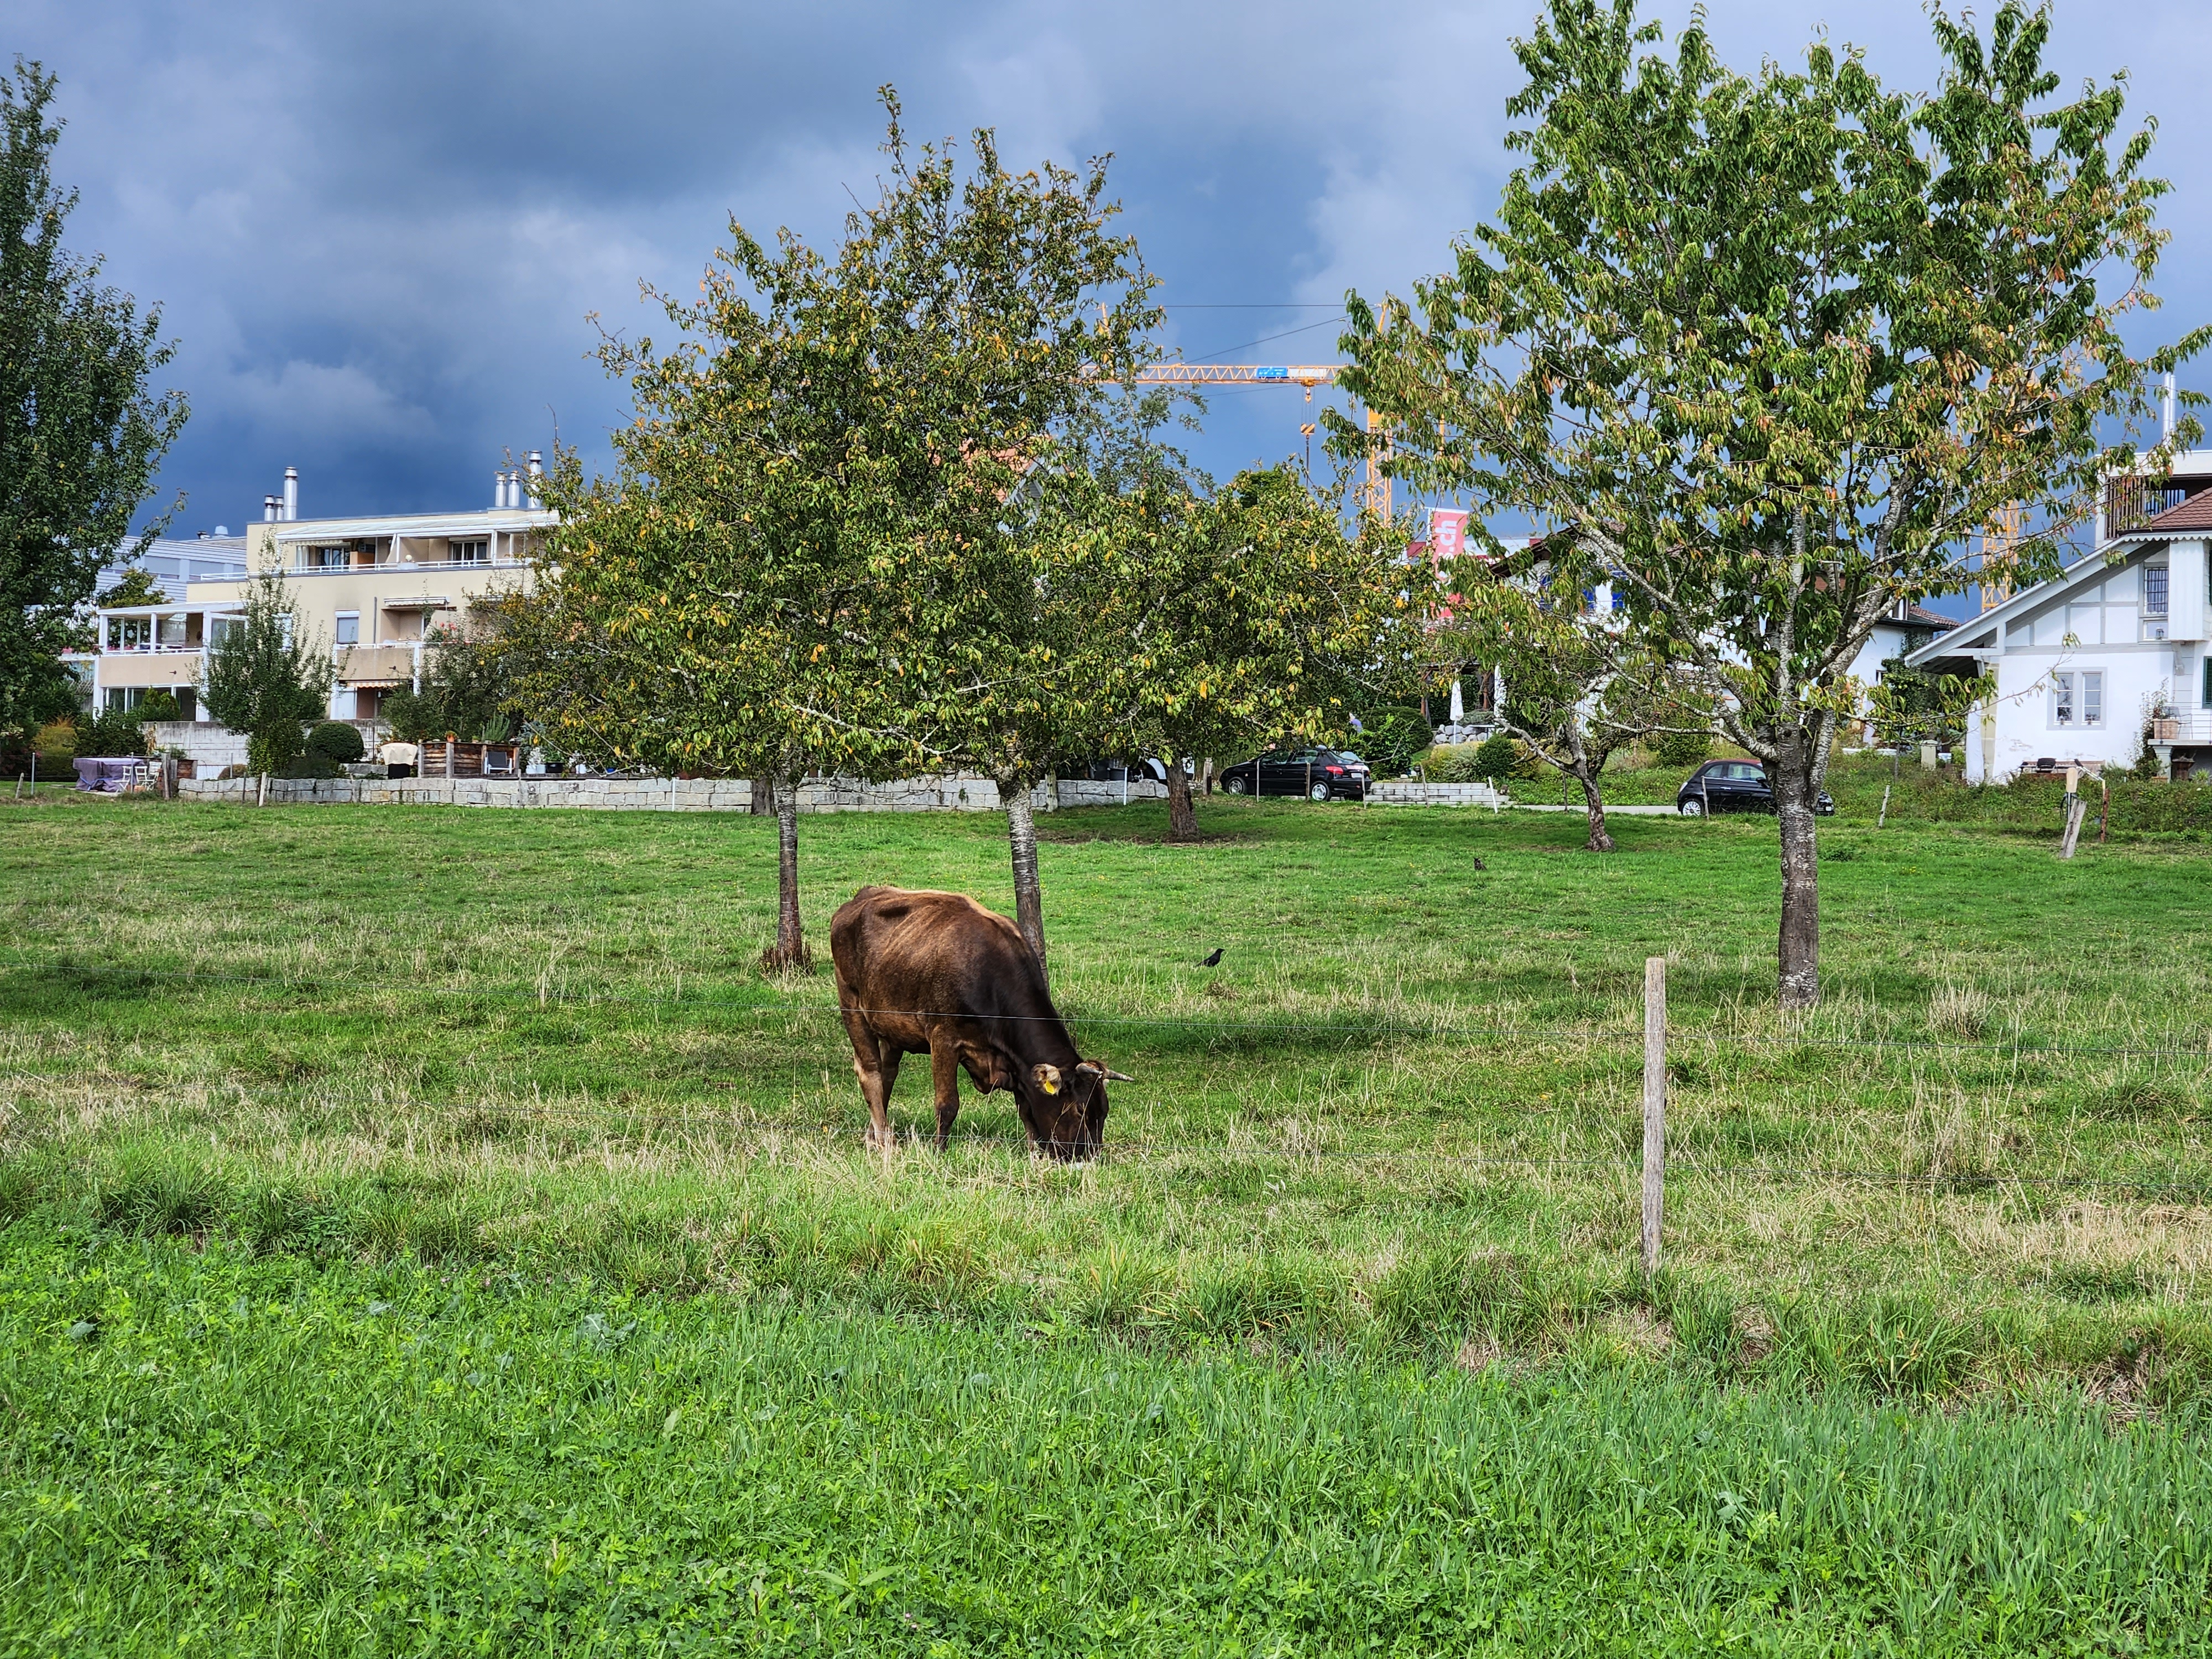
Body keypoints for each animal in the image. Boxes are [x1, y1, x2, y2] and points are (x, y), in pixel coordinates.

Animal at [832, 889, 1141, 1159]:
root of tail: (861, 897)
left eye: (1104, 1111)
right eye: (1079, 1110)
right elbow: (948, 1104)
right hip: (851, 1004)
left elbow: (1027, 1109)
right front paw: (939, 1152)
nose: (1089, 1157)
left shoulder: (1016, 1063)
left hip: (891, 1026)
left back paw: (874, 1137)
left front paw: (1034, 1152)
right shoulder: (944, 1038)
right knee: (871, 1072)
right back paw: (885, 1142)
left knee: (888, 1074)